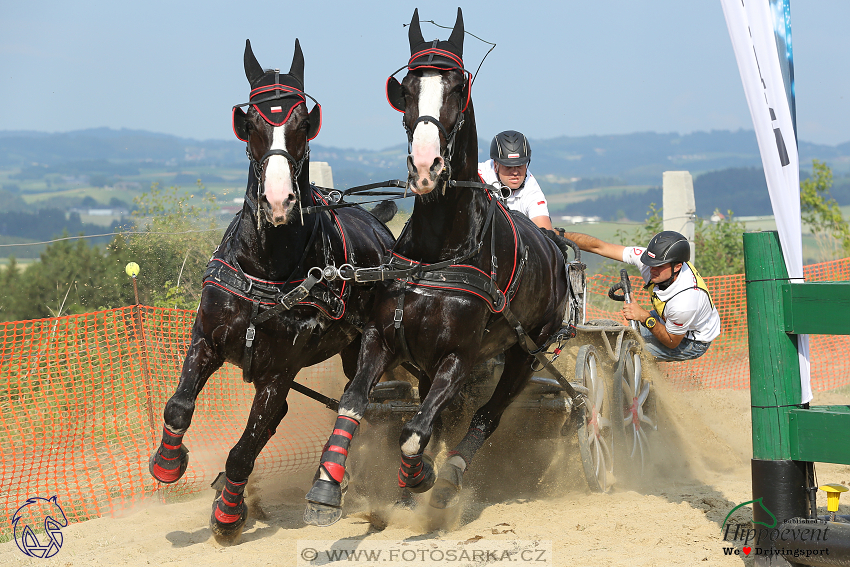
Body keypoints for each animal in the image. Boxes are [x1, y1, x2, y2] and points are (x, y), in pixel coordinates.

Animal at [147, 37, 394, 544]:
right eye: (253, 123)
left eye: (302, 122)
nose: (279, 201)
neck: (265, 267)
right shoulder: (207, 338)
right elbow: (179, 405)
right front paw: (168, 464)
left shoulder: (280, 371)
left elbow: (245, 448)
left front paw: (228, 516)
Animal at [302, 7, 572, 528]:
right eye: (406, 89)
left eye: (456, 87)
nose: (426, 167)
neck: (440, 251)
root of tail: (553, 246)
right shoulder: (383, 339)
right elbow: (355, 403)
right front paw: (326, 487)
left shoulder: (459, 358)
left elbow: (414, 430)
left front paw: (421, 475)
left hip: (527, 351)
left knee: (486, 415)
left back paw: (446, 480)